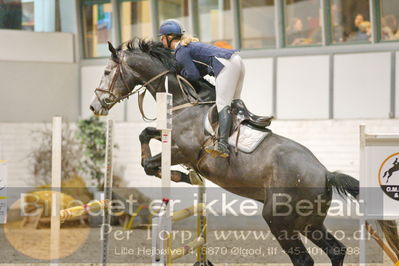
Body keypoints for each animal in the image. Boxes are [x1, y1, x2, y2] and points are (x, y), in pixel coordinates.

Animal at [90, 39, 399, 266]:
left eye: (106, 72)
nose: (95, 106)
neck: (182, 100)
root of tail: (325, 173)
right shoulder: (169, 139)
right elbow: (144, 134)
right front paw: (187, 177)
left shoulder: (180, 150)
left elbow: (149, 163)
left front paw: (184, 177)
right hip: (310, 222)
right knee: (336, 250)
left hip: (279, 220)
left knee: (304, 260)